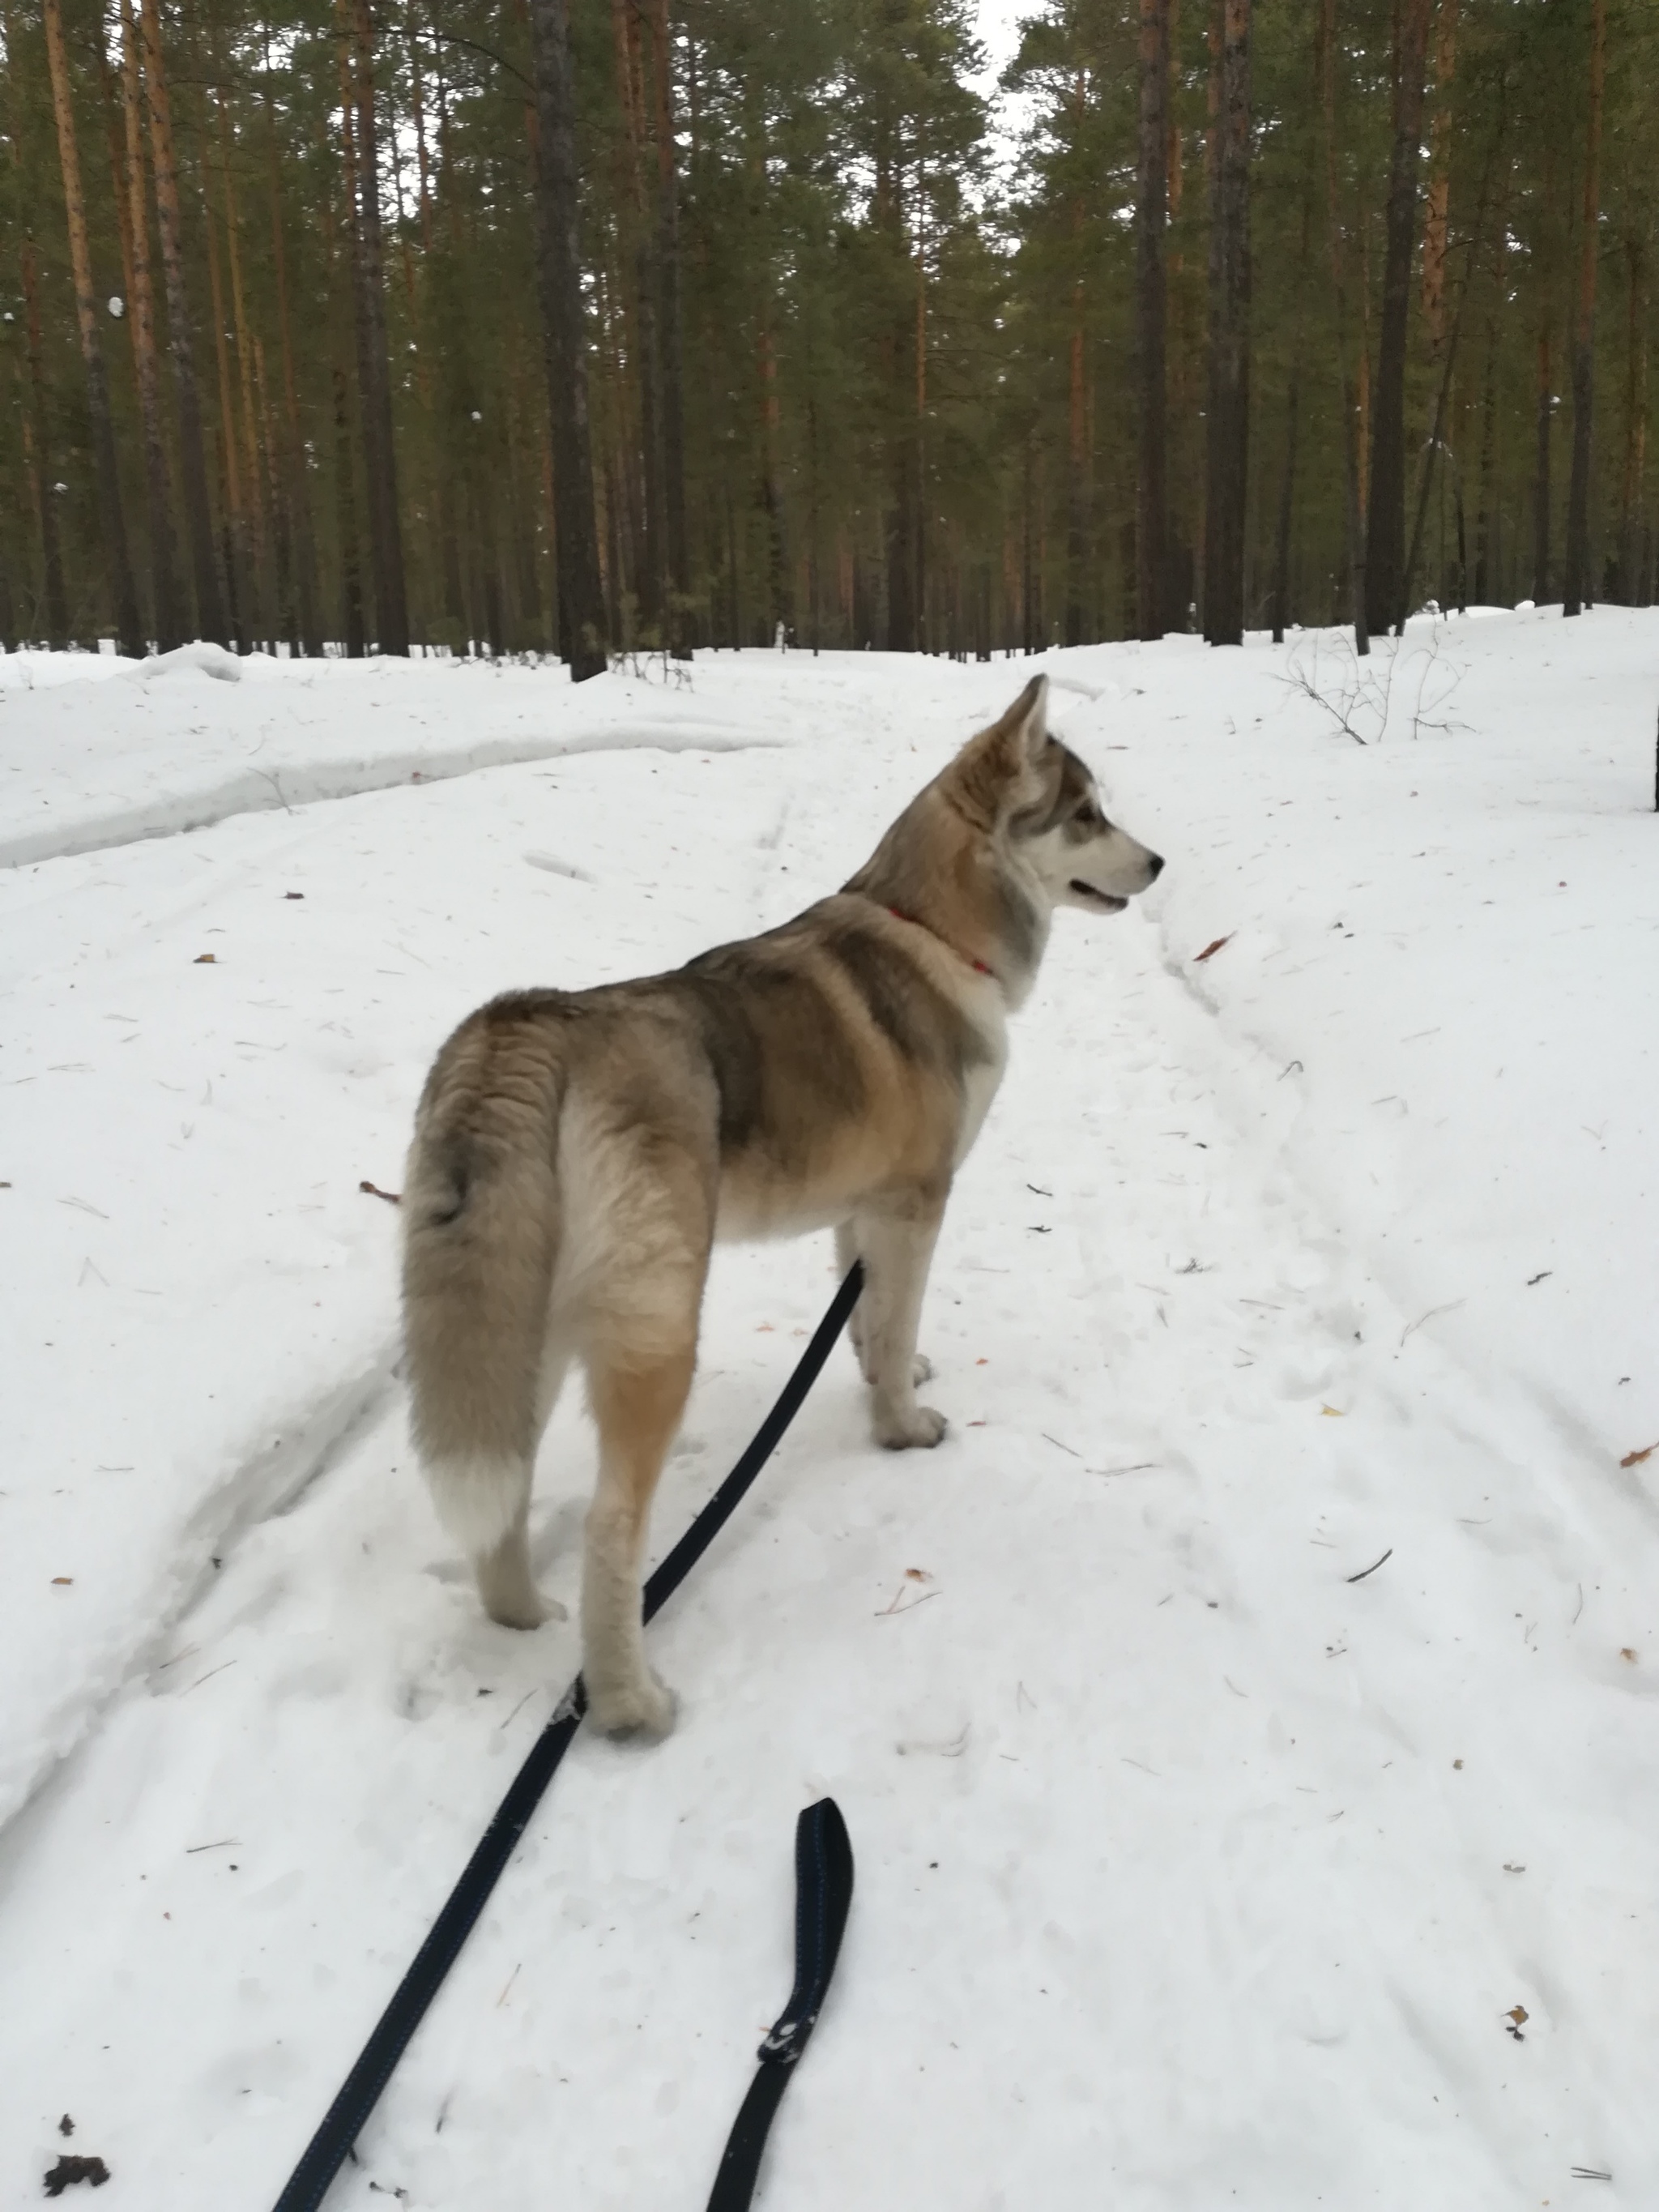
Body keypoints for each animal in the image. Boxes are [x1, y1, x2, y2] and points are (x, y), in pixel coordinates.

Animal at [404, 668, 1158, 1725]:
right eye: (1086, 814)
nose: (1159, 863)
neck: (931, 929)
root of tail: (527, 1026)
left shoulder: (862, 1210)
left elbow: (869, 1319)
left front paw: (888, 1378)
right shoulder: (917, 1201)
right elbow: (893, 1319)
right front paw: (900, 1430)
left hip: (522, 1325)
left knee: (503, 1485)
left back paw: (522, 1619)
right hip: (656, 1328)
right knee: (611, 1525)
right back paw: (629, 1702)